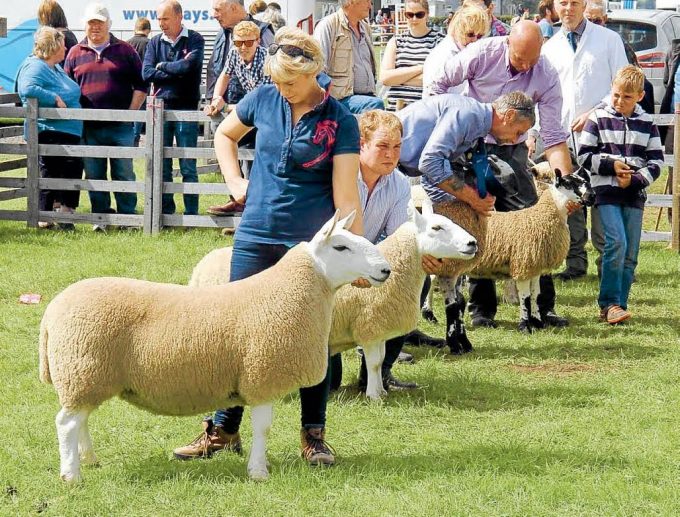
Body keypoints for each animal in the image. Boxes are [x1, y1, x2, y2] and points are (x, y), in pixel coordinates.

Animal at [41, 211, 394, 484]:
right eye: (341, 246)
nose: (385, 270)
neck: (291, 292)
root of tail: (52, 311)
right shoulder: (262, 375)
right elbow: (263, 428)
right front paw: (258, 472)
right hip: (83, 368)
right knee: (66, 423)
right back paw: (72, 475)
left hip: (86, 377)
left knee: (79, 419)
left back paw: (89, 458)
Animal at [191, 201, 478, 400]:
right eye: (436, 228)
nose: (473, 243)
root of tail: (202, 265)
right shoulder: (370, 325)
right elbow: (375, 362)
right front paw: (374, 396)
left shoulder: (378, 327)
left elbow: (380, 360)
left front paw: (381, 390)